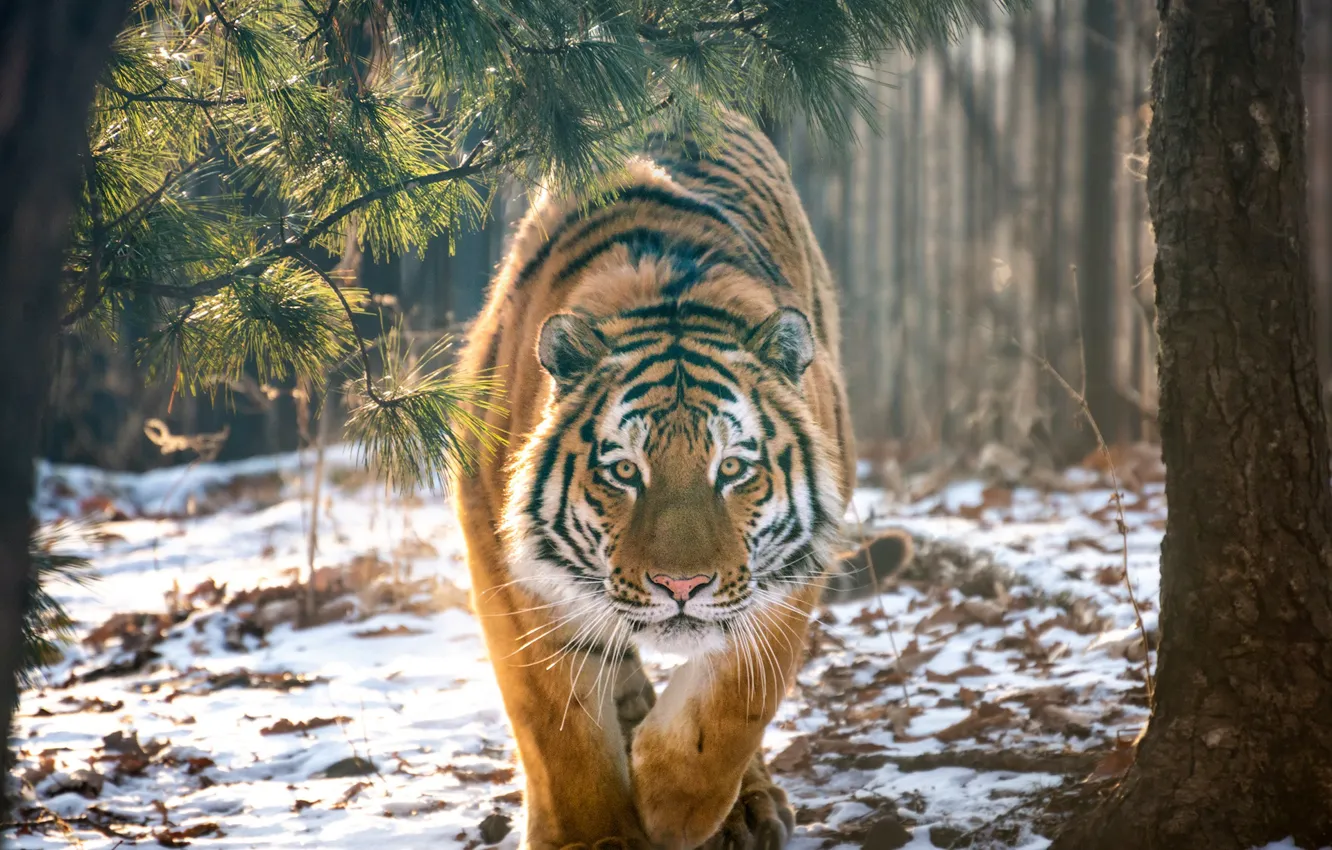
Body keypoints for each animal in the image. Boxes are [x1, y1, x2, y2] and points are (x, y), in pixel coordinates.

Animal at [453, 110, 911, 850]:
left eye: (732, 469)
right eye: (623, 471)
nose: (681, 587)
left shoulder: (789, 575)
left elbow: (731, 709)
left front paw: (667, 803)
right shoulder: (503, 563)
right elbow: (554, 725)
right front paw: (592, 834)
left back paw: (748, 807)